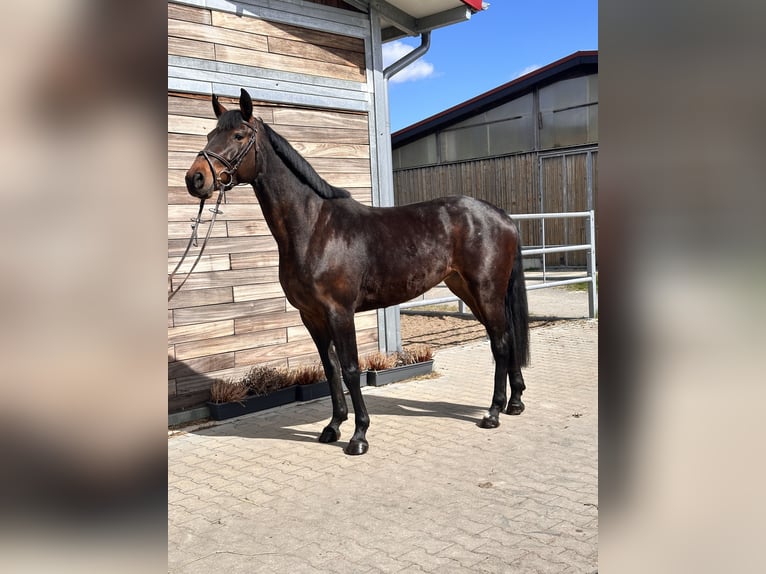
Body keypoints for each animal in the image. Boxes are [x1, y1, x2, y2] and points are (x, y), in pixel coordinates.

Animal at [185, 89, 530, 455]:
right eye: (209, 135)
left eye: (238, 135)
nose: (195, 179)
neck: (314, 227)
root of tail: (502, 217)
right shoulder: (312, 316)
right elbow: (331, 369)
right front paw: (333, 427)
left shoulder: (340, 312)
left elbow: (351, 369)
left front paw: (359, 436)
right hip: (467, 289)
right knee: (504, 337)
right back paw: (514, 403)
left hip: (486, 290)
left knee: (501, 342)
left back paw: (493, 412)